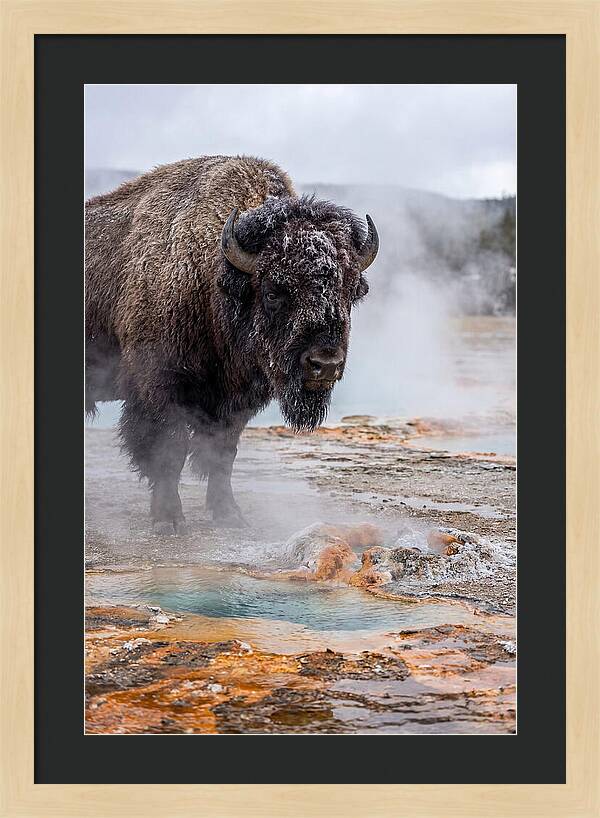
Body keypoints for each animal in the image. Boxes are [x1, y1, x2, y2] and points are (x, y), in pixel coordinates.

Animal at [85, 156, 378, 532]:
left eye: (350, 291)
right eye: (273, 292)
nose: (324, 364)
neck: (213, 277)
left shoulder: (234, 403)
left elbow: (223, 455)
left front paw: (229, 514)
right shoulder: (159, 390)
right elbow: (169, 452)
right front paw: (169, 520)